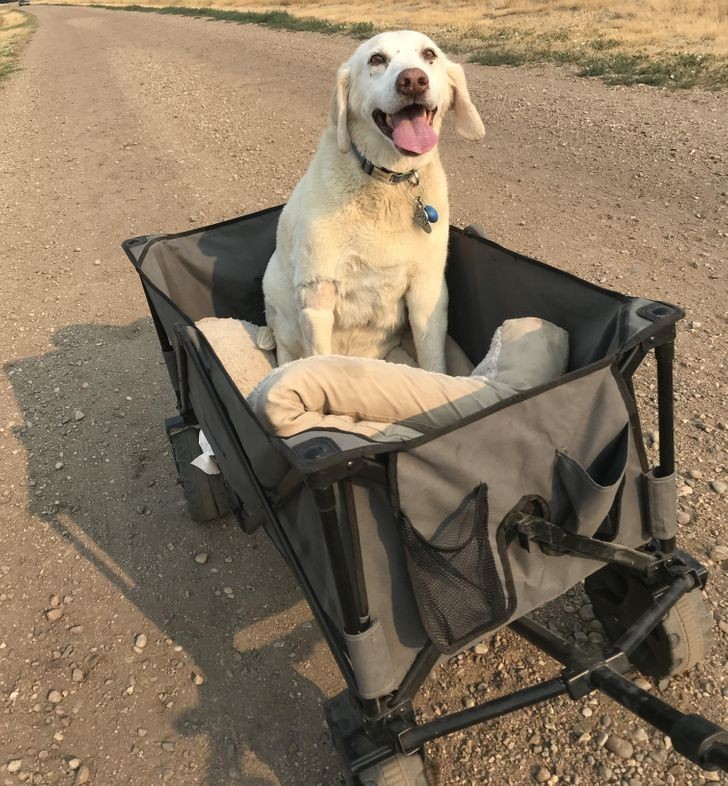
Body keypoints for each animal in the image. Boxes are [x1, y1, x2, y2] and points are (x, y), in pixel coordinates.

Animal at [262, 29, 484, 370]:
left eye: (429, 55)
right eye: (376, 59)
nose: (413, 81)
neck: (389, 182)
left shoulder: (428, 294)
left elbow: (433, 363)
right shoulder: (317, 295)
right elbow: (317, 360)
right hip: (279, 307)